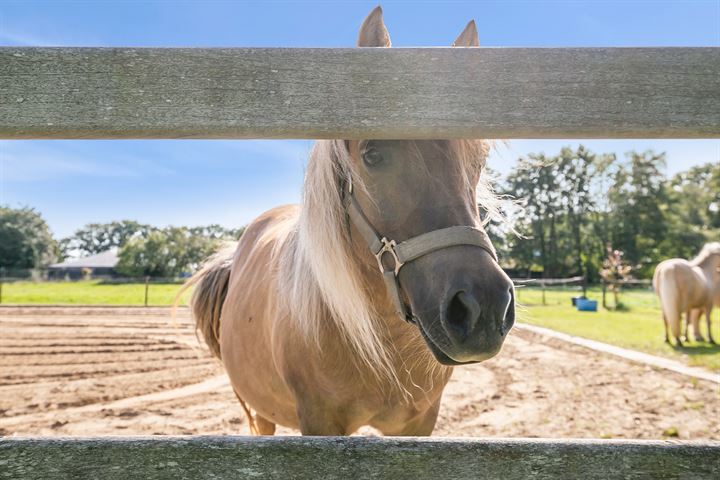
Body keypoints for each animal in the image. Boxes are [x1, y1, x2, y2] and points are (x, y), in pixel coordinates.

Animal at [183, 6, 516, 436]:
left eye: (478, 161)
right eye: (371, 154)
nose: (483, 307)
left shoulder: (420, 423)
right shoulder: (320, 422)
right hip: (260, 412)